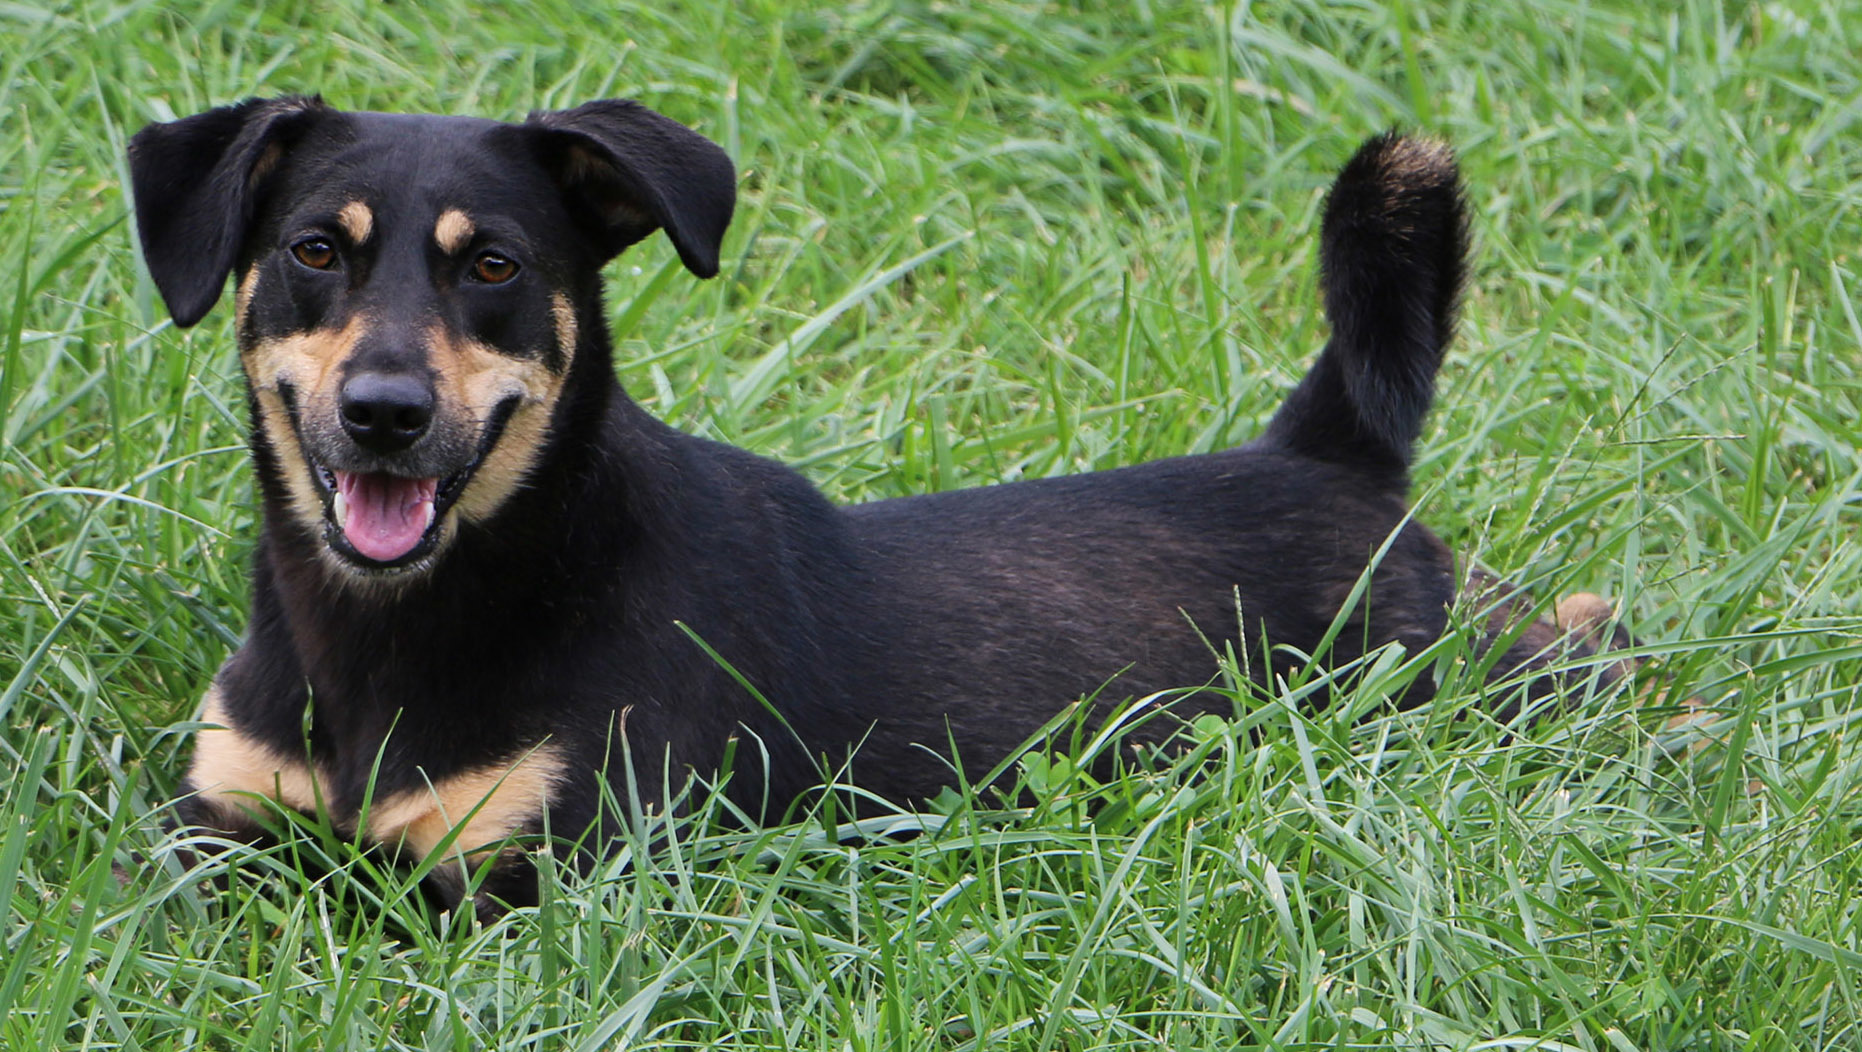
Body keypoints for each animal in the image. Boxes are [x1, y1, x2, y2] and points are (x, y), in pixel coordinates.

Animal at [127, 100, 1631, 919]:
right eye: (313, 250)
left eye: (492, 265)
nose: (383, 412)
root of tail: (1326, 456)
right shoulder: (215, 837)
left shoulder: (540, 880)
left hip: (1447, 681)